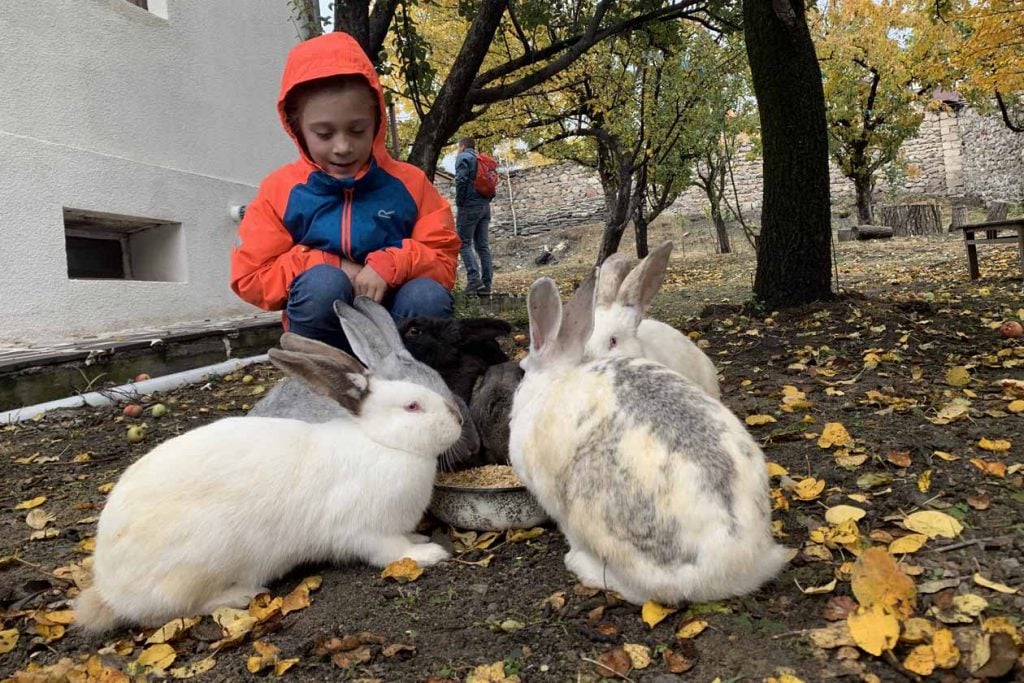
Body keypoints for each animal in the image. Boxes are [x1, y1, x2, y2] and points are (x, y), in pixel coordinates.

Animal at [77, 327, 462, 634]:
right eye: (412, 406)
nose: (458, 418)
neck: (381, 441)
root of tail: (111, 591)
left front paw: (419, 538)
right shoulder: (365, 531)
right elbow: (391, 552)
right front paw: (429, 552)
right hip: (197, 565)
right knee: (176, 610)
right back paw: (241, 595)